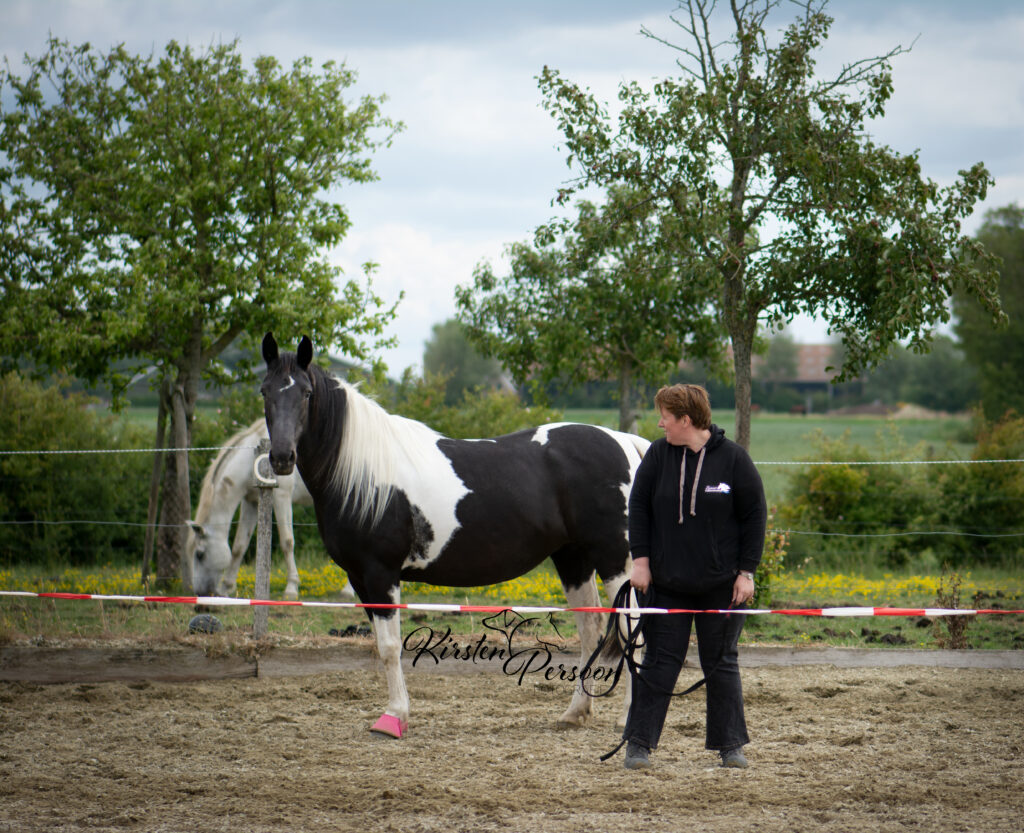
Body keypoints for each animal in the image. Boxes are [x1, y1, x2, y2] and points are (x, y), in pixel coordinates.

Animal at [188, 420, 356, 602]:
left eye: (199, 554)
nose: (200, 593)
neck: (252, 459)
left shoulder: (281, 497)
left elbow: (287, 542)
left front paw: (291, 588)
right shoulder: (251, 503)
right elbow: (239, 546)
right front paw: (226, 587)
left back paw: (348, 591)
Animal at [264, 331, 647, 733]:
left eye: (306, 393)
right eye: (265, 391)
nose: (282, 457)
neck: (367, 474)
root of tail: (623, 441)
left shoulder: (380, 574)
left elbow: (390, 647)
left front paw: (394, 716)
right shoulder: (359, 578)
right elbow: (382, 646)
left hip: (615, 561)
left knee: (632, 632)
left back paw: (628, 719)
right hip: (573, 559)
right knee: (591, 630)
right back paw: (575, 712)